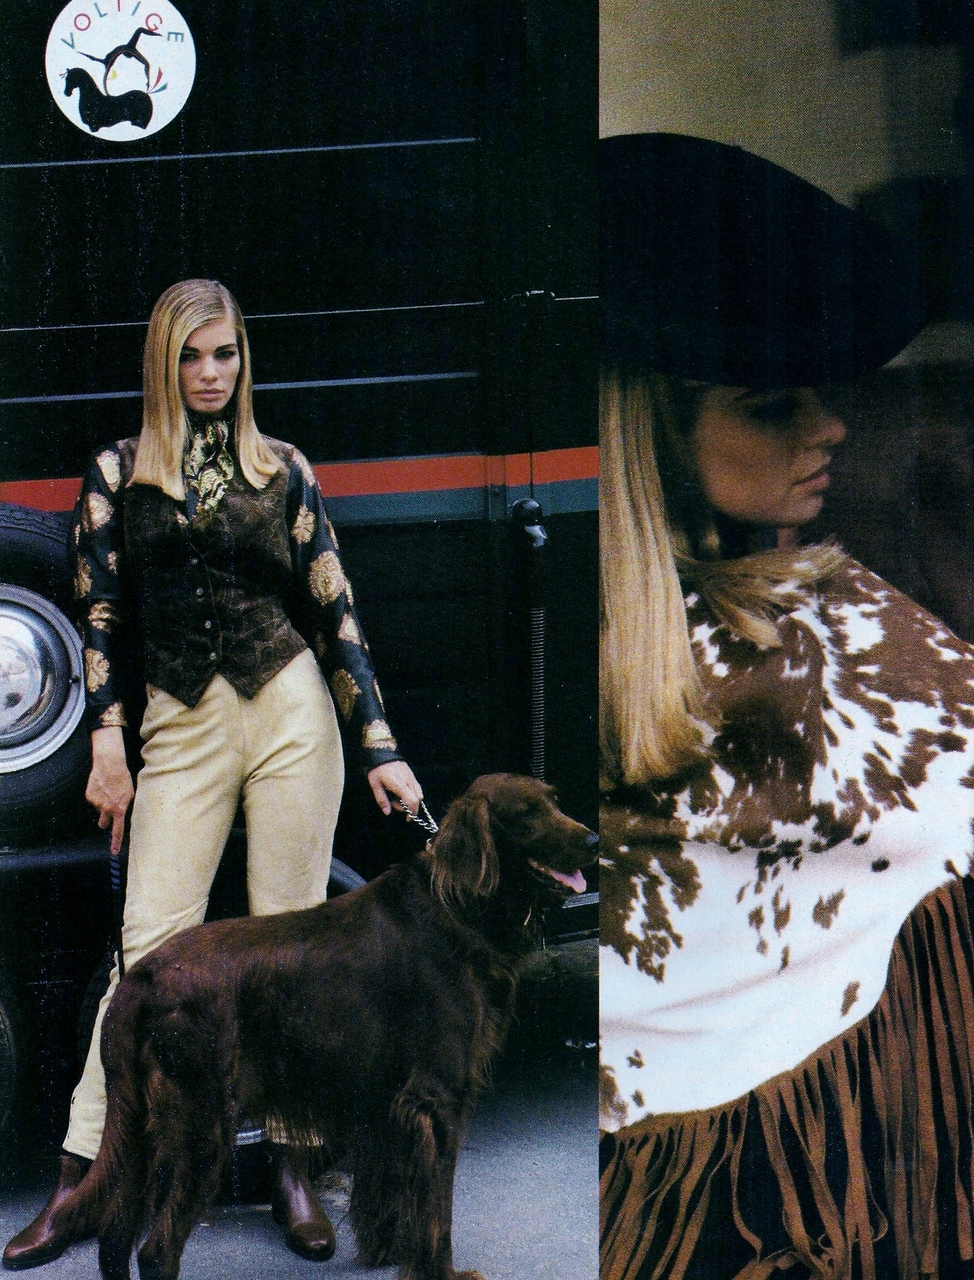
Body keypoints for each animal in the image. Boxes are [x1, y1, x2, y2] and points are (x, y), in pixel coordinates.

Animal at [56, 773, 596, 1280]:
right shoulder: (437, 1098)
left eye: (555, 801)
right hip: (201, 1124)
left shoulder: (385, 1099)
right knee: (155, 1252)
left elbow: (389, 1192)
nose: (593, 840)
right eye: (527, 815)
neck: (457, 906)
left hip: (141, 1129)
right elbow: (436, 1214)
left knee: (113, 1242)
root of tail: (142, 976)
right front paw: (440, 1272)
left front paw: (387, 1252)